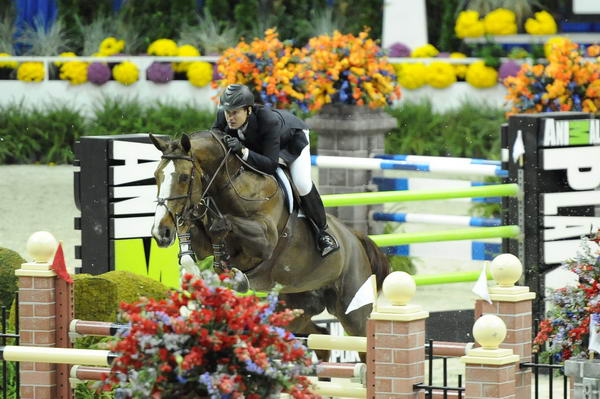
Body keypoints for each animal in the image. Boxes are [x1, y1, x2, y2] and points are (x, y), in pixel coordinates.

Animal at [150, 130, 390, 346]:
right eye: (156, 176)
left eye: (183, 177)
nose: (160, 233)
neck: (232, 186)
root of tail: (356, 238)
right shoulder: (201, 243)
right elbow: (192, 249)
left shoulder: (264, 240)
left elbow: (224, 224)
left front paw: (233, 276)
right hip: (296, 305)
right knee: (317, 333)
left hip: (354, 312)